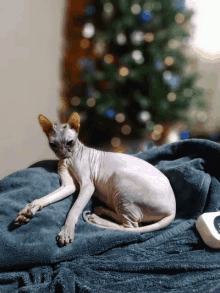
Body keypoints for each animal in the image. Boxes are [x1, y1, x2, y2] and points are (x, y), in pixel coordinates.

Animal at [13, 110, 176, 245]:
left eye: (70, 142)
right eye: (53, 145)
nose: (63, 154)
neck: (69, 159)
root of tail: (173, 210)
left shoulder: (87, 185)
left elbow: (74, 210)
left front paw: (66, 231)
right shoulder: (68, 186)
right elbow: (46, 198)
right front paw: (28, 210)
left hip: (120, 181)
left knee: (131, 227)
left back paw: (97, 218)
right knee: (130, 223)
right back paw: (100, 211)